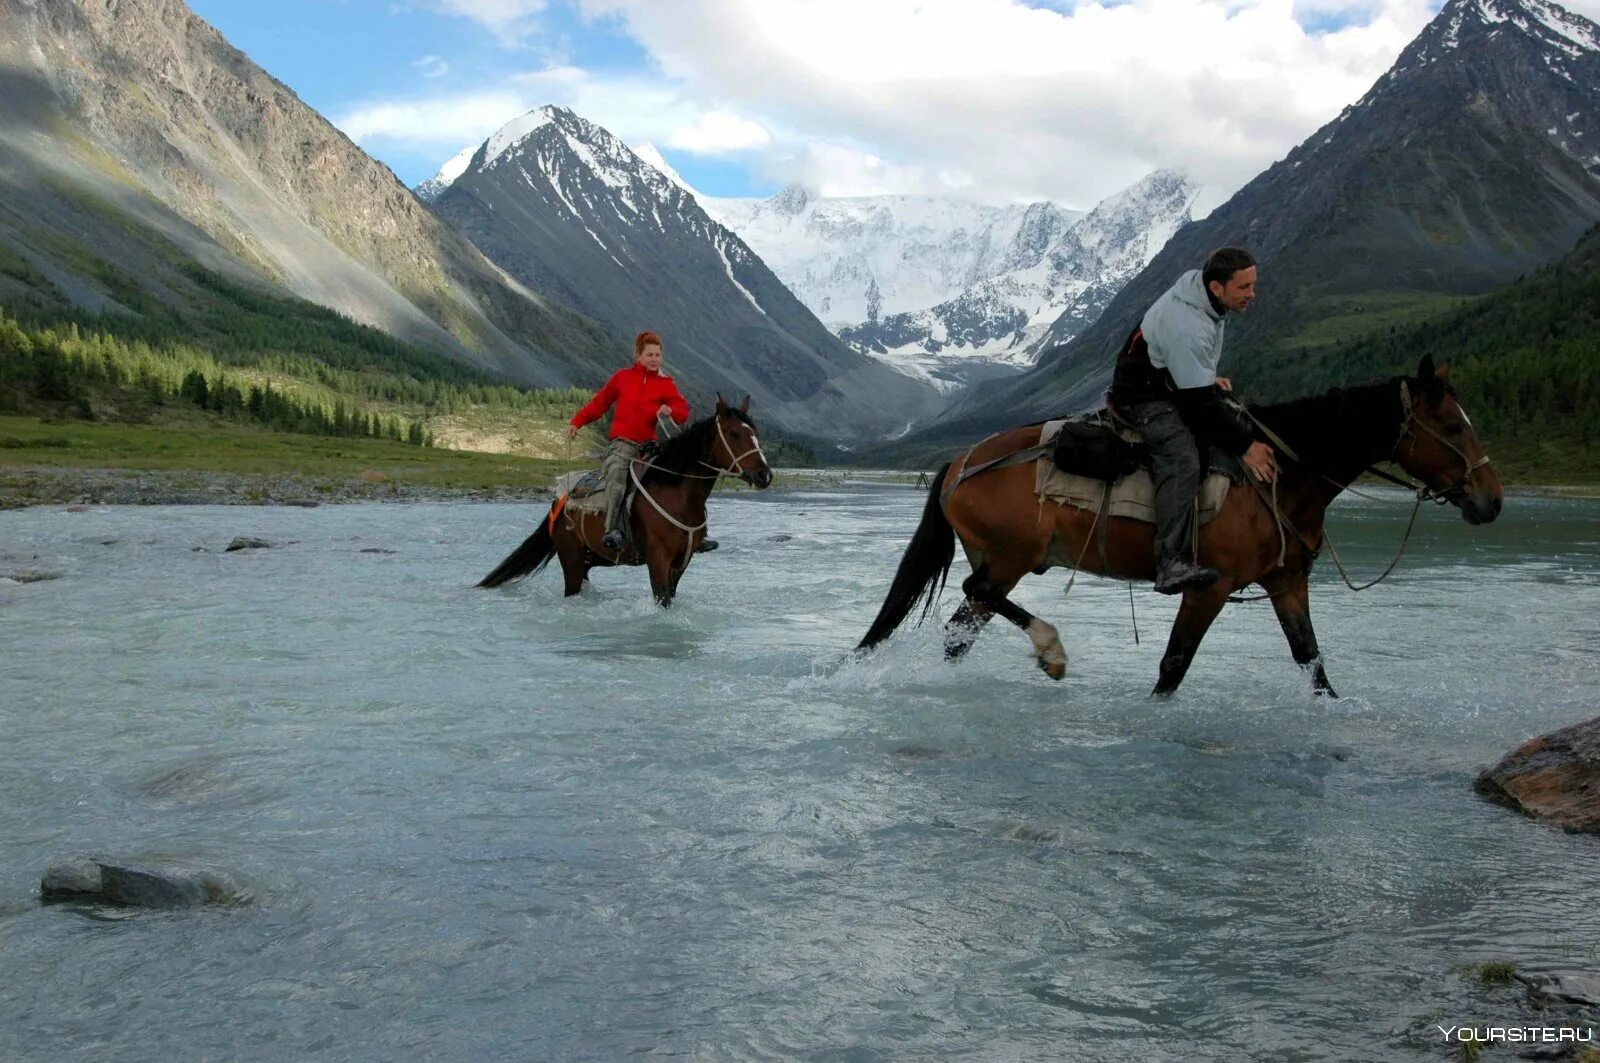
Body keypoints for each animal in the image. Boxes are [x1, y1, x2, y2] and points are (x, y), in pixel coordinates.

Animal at [476, 393, 771, 605]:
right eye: (734, 433)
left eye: (755, 432)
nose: (764, 475)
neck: (677, 495)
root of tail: (558, 501)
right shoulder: (658, 559)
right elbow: (662, 600)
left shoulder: (682, 562)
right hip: (571, 558)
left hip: (593, 558)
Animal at [864, 355, 1497, 697]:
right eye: (1450, 425)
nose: (1490, 500)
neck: (1280, 476)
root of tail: (959, 463)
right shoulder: (1209, 587)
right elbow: (1174, 665)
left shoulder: (1287, 581)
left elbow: (1312, 661)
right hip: (1011, 556)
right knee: (976, 594)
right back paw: (1051, 648)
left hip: (1004, 561)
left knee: (962, 627)